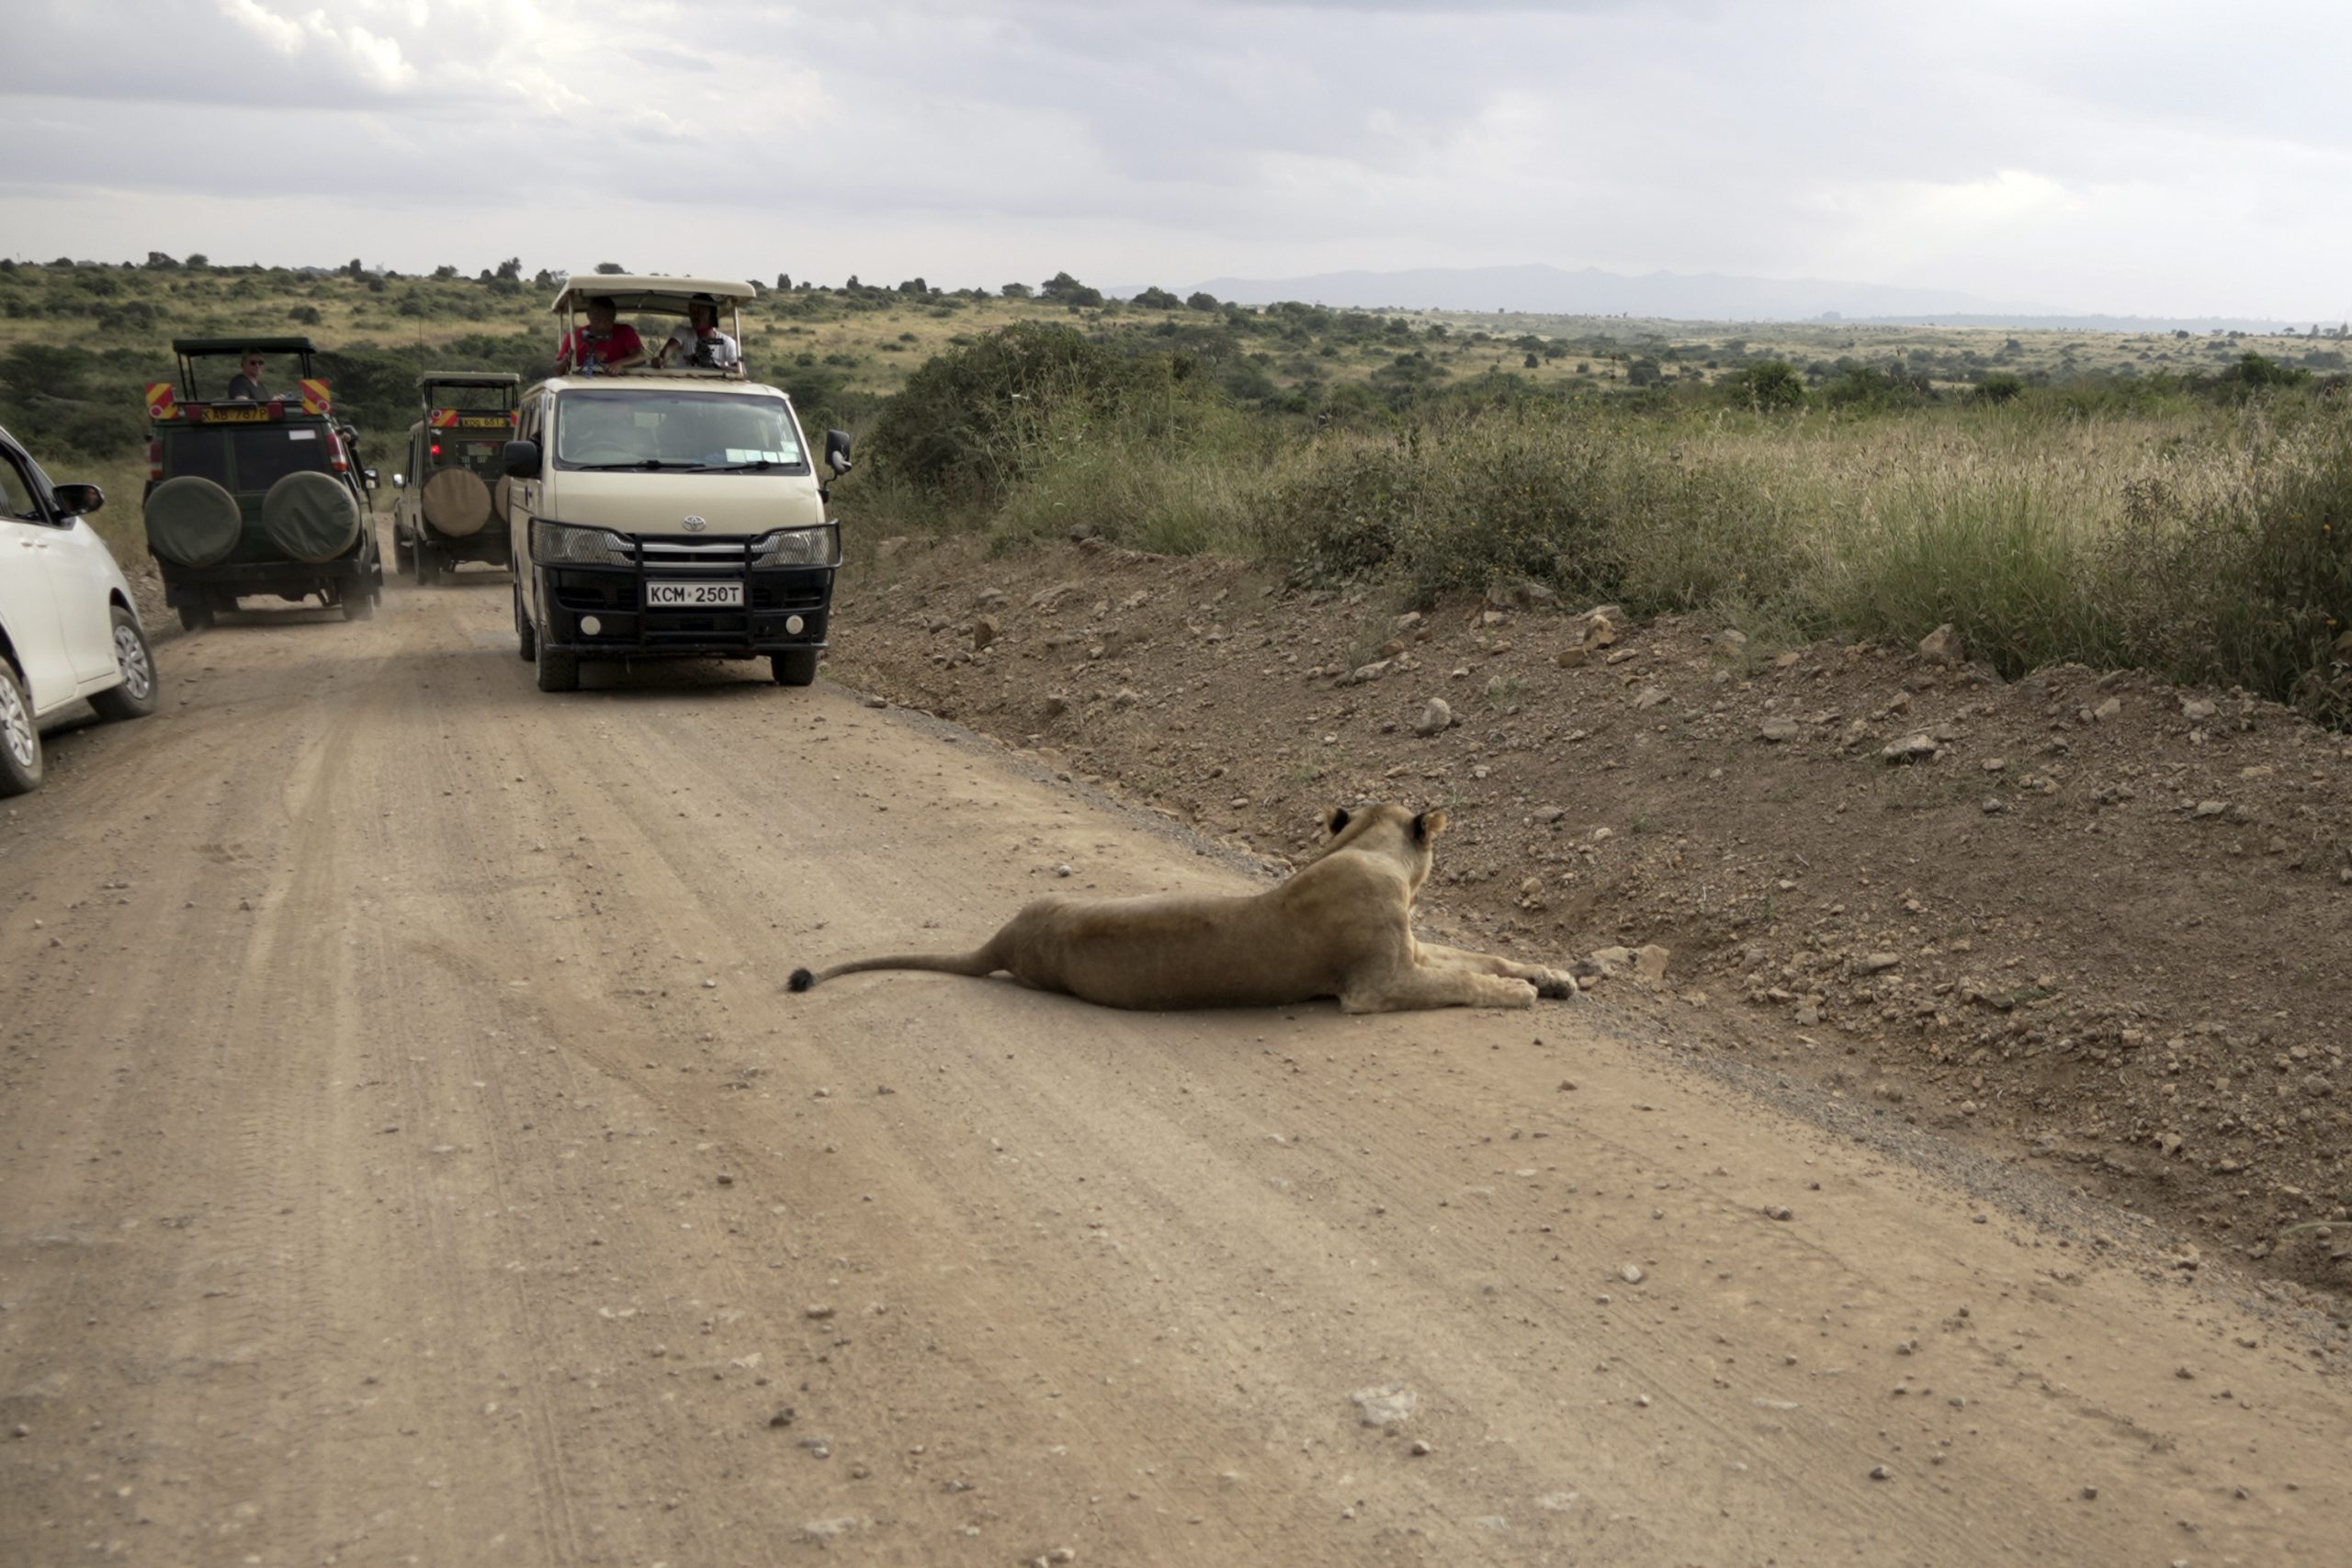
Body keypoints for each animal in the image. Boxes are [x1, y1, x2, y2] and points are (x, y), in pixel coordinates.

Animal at [787, 803, 1578, 1013]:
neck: (1364, 848)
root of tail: (1007, 937)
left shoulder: (1412, 949)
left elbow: (1482, 954)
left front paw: (1554, 976)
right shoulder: (1376, 986)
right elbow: (1464, 980)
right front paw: (1517, 994)